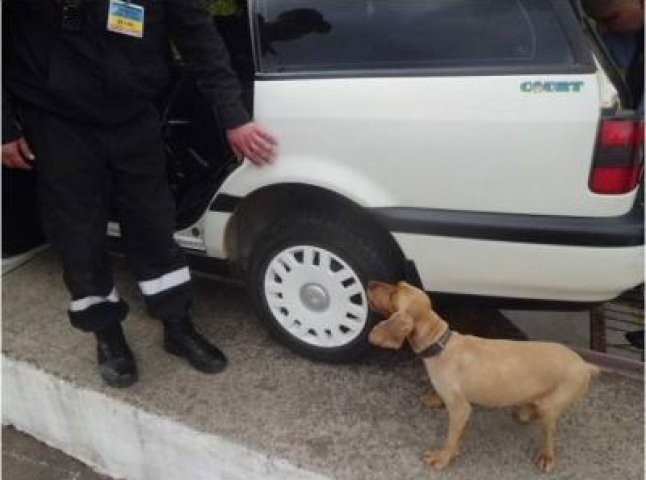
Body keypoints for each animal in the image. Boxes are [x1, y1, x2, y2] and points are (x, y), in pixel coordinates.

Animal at [370, 282, 604, 472]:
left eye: (393, 294)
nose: (371, 283)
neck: (440, 344)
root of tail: (584, 364)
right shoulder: (463, 410)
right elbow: (459, 434)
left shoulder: (460, 409)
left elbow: (451, 438)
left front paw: (443, 457)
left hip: (551, 407)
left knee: (549, 429)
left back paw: (546, 454)